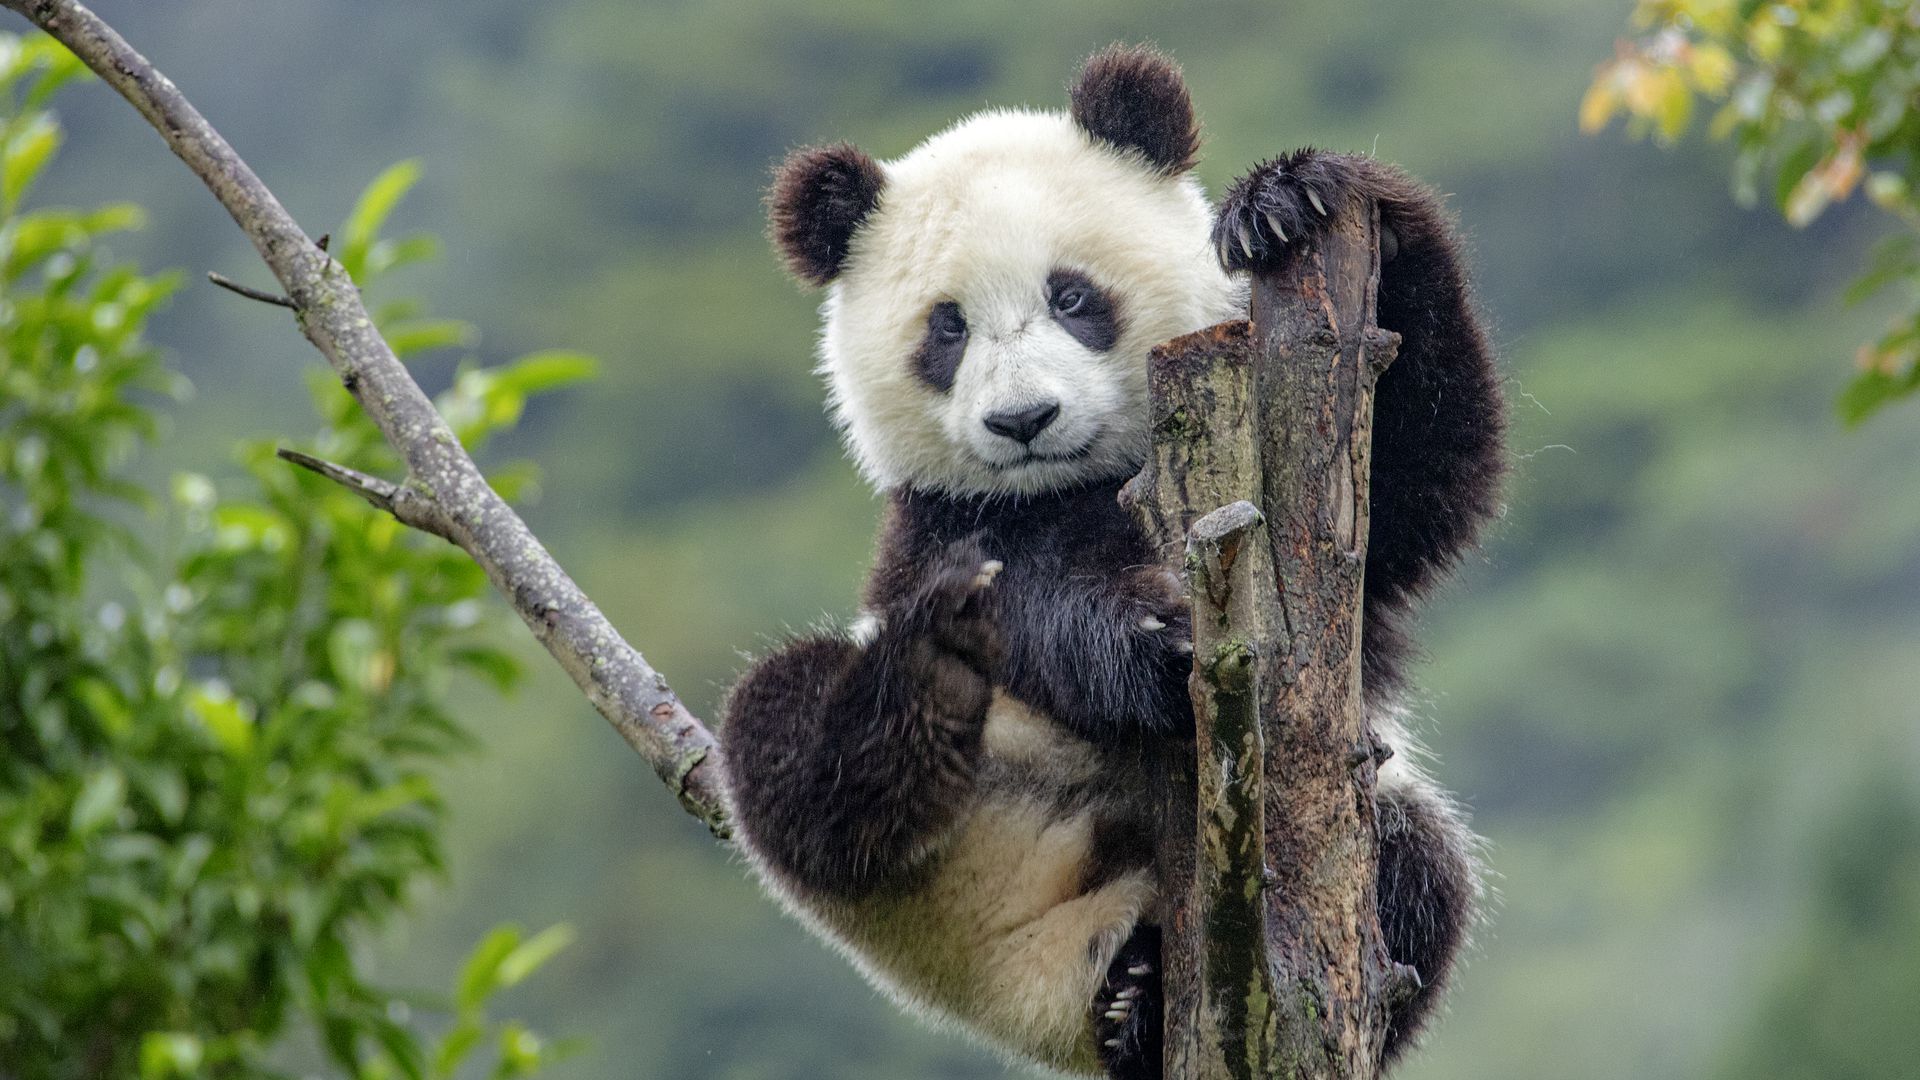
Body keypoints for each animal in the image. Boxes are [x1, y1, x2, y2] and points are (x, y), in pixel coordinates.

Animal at [719, 44, 1503, 1080]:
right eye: (946, 327)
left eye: (1072, 296)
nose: (1023, 420)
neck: (1082, 480)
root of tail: (1045, 1009)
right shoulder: (947, 528)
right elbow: (1039, 608)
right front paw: (1155, 647)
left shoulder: (1330, 510)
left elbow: (1426, 476)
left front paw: (1289, 200)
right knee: (796, 752)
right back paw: (933, 670)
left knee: (1417, 880)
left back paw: (1145, 998)